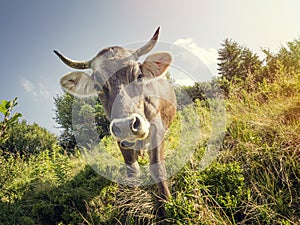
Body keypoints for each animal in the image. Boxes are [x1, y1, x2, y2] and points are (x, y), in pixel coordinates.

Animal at [53, 27, 176, 212]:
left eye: (139, 75)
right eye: (97, 86)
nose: (125, 125)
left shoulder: (157, 129)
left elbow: (157, 169)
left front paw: (167, 206)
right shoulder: (119, 138)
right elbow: (132, 171)